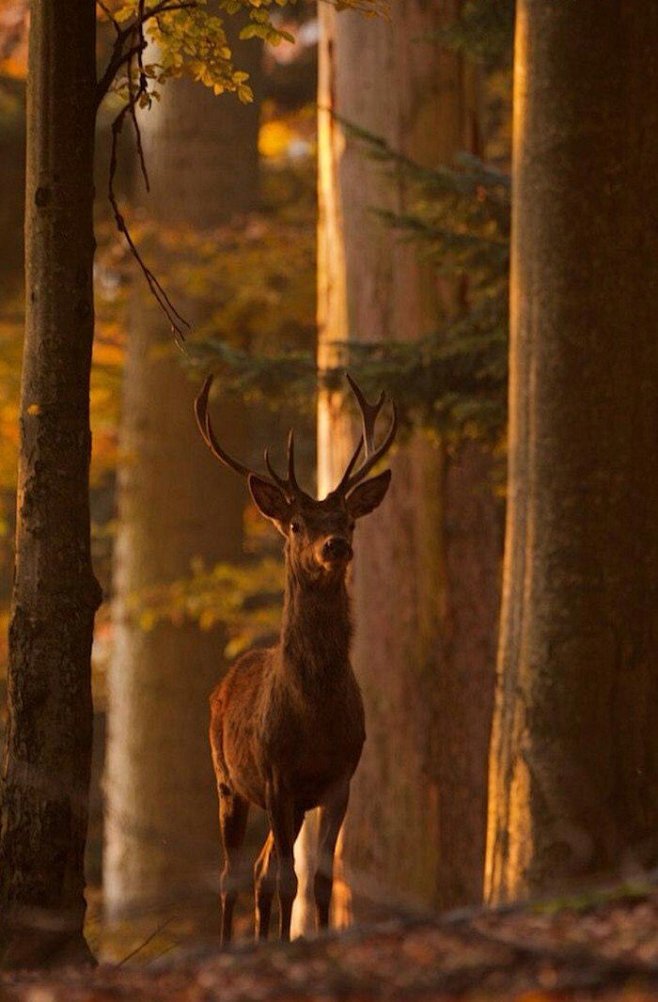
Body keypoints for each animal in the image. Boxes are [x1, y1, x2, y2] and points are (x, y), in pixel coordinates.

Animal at [192, 372, 392, 941]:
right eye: (299, 524)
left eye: (349, 519)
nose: (335, 545)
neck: (315, 716)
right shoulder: (277, 773)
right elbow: (288, 881)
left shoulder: (338, 779)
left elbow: (319, 880)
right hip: (228, 780)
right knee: (232, 875)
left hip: (289, 802)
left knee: (259, 870)